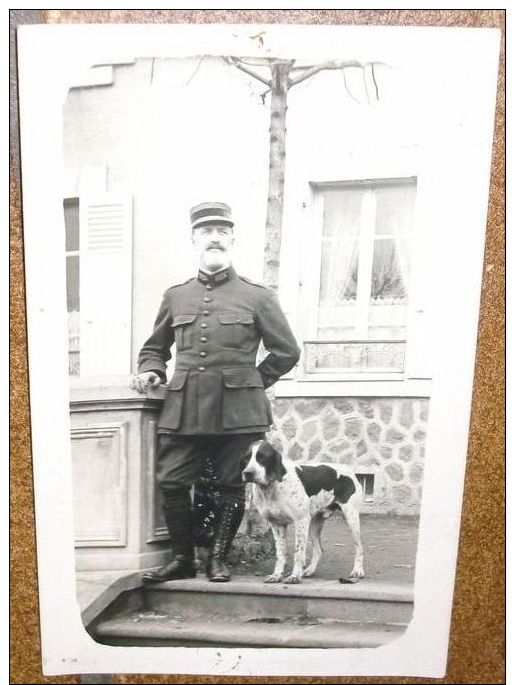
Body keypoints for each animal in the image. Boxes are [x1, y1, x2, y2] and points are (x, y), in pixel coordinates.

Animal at [243, 438, 366, 584]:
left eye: (262, 457)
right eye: (246, 458)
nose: (248, 473)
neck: (271, 488)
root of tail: (350, 471)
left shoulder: (300, 521)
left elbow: (298, 552)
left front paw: (295, 576)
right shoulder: (276, 524)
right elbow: (281, 553)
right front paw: (277, 575)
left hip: (351, 519)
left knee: (359, 548)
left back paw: (358, 571)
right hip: (314, 524)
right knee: (319, 550)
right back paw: (310, 570)